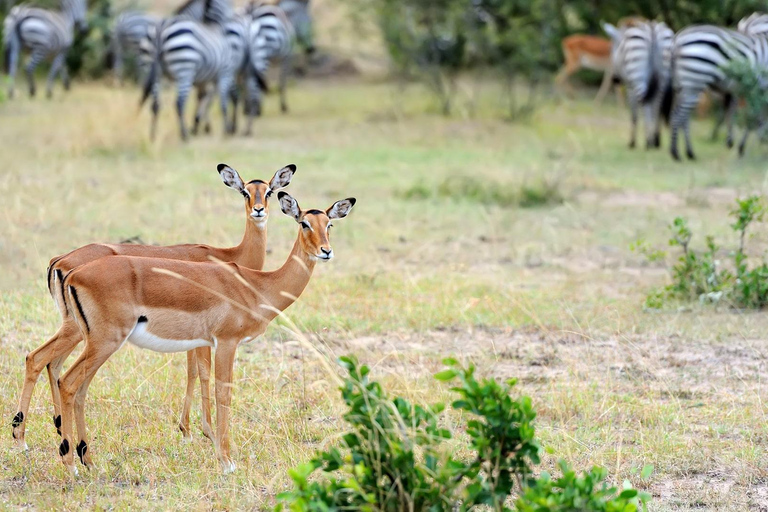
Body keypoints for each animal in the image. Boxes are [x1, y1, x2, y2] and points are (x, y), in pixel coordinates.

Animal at [604, 20, 676, 148]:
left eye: (611, 49)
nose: (615, 79)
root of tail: (652, 31)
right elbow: (652, 110)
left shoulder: (630, 87)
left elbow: (634, 114)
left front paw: (632, 142)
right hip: (663, 76)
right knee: (657, 106)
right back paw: (656, 140)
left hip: (638, 77)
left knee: (646, 104)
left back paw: (648, 142)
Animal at [664, 25, 768, 158]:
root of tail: (677, 39)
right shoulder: (762, 87)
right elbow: (756, 117)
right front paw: (745, 146)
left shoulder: (758, 89)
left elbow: (756, 116)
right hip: (693, 82)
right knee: (679, 116)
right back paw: (676, 152)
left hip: (680, 86)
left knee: (679, 116)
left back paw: (689, 152)